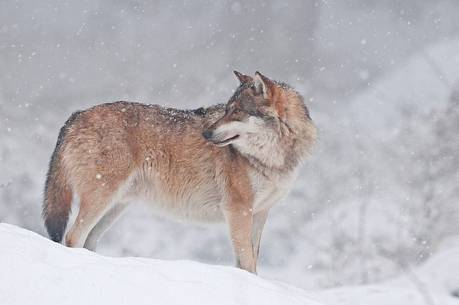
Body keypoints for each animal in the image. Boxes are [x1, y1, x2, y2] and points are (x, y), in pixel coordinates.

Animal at [42, 72, 316, 274]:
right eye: (227, 110)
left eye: (236, 112)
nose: (206, 133)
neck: (273, 159)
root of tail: (75, 117)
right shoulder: (238, 210)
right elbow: (246, 262)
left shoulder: (260, 212)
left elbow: (252, 260)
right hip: (100, 199)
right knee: (72, 237)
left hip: (114, 208)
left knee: (88, 241)